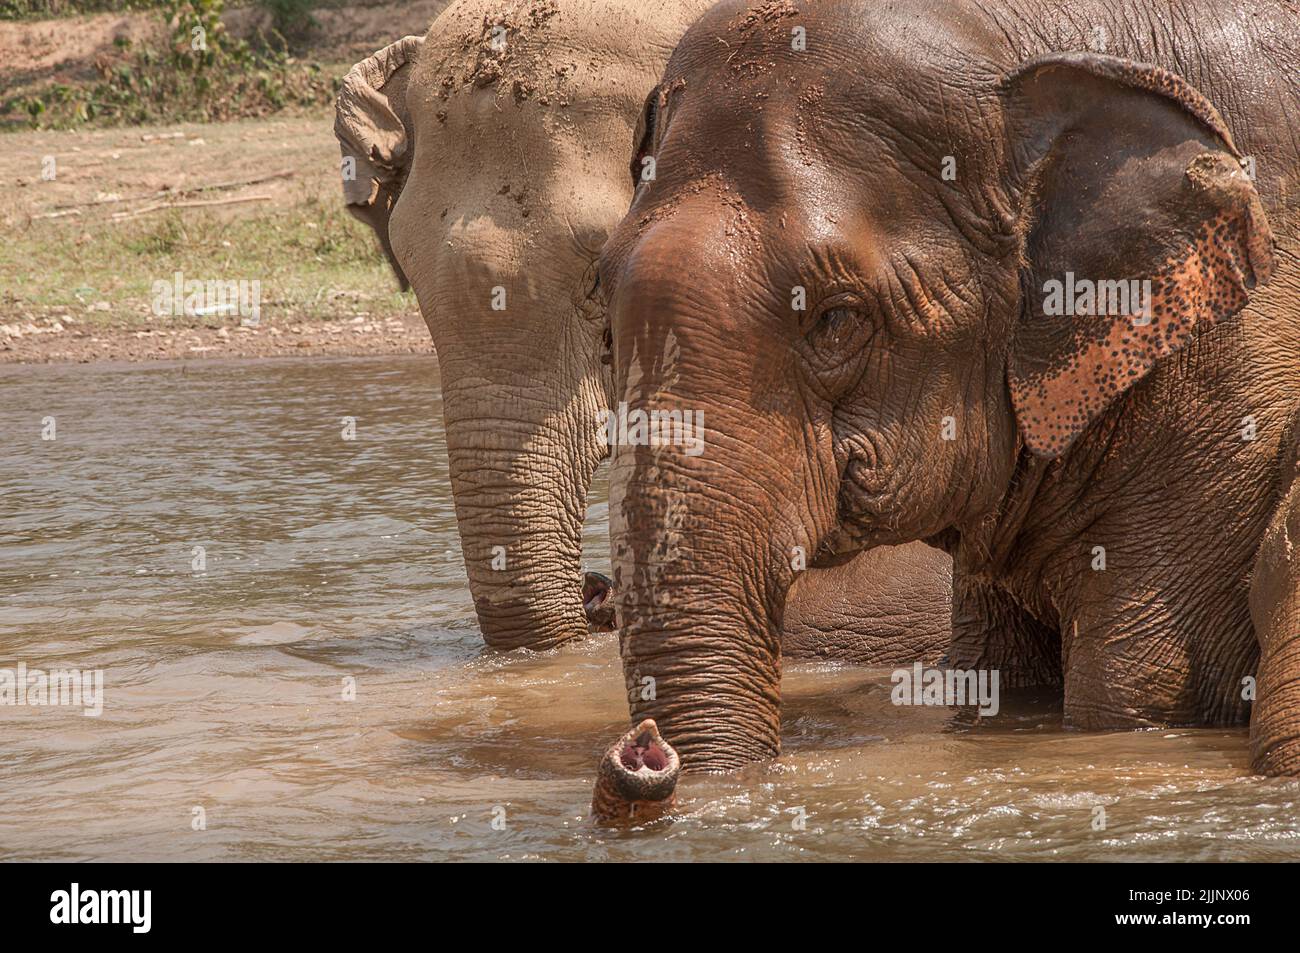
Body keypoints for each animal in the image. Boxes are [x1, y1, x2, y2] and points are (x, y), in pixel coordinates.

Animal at [592, 0, 1300, 810]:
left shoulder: (1228, 408)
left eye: (836, 319)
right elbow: (994, 671)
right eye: (603, 317)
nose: (643, 751)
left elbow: (1138, 693)